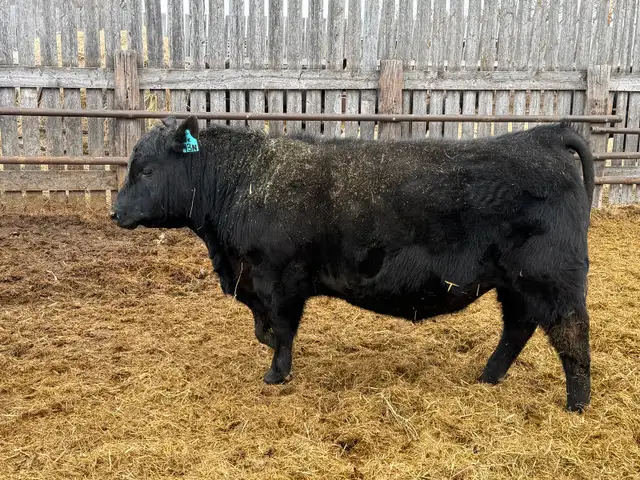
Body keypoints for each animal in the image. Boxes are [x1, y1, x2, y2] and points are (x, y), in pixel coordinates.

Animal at [110, 115, 594, 412]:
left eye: (147, 170)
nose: (115, 212)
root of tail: (544, 136)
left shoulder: (279, 281)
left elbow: (280, 332)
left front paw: (276, 375)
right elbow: (266, 331)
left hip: (551, 277)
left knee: (571, 334)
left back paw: (577, 404)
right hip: (515, 283)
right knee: (518, 327)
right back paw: (488, 378)